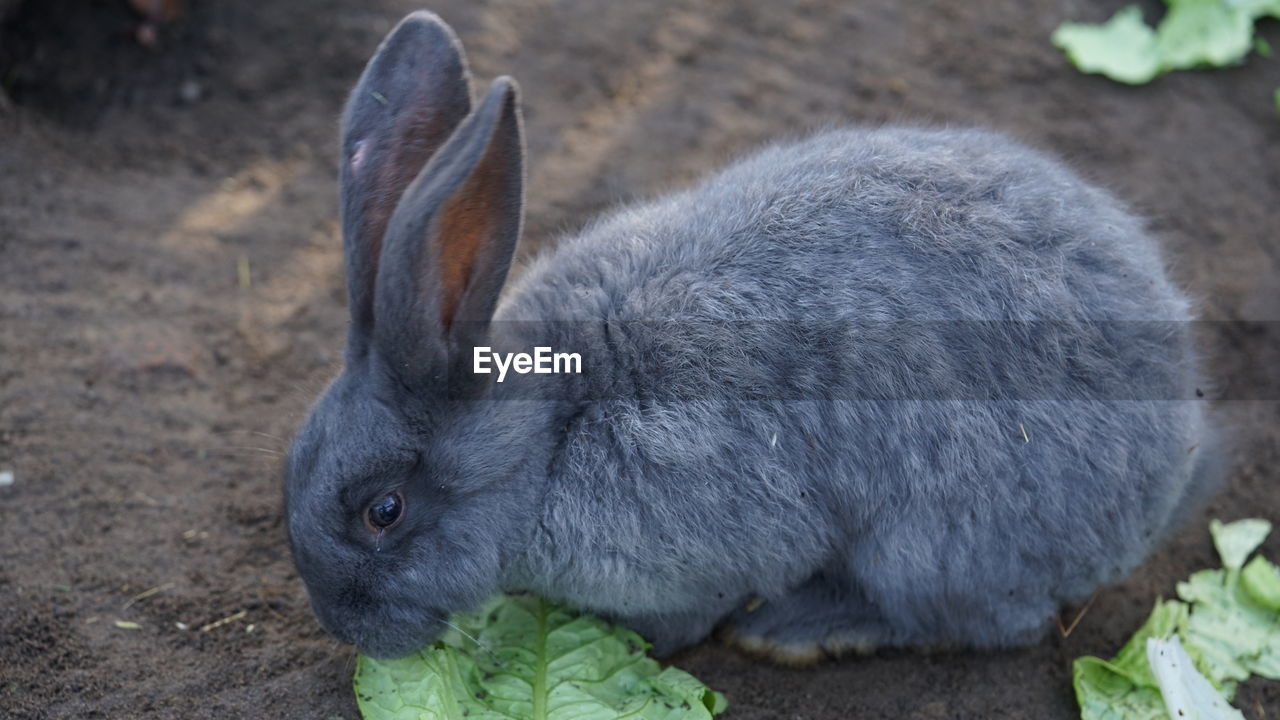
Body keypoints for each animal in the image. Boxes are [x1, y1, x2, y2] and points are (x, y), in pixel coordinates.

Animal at [282, 11, 1218, 661]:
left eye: (383, 512)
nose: (346, 628)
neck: (552, 429)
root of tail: (1173, 462)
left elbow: (690, 610)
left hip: (931, 543)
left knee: (988, 620)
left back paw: (800, 629)